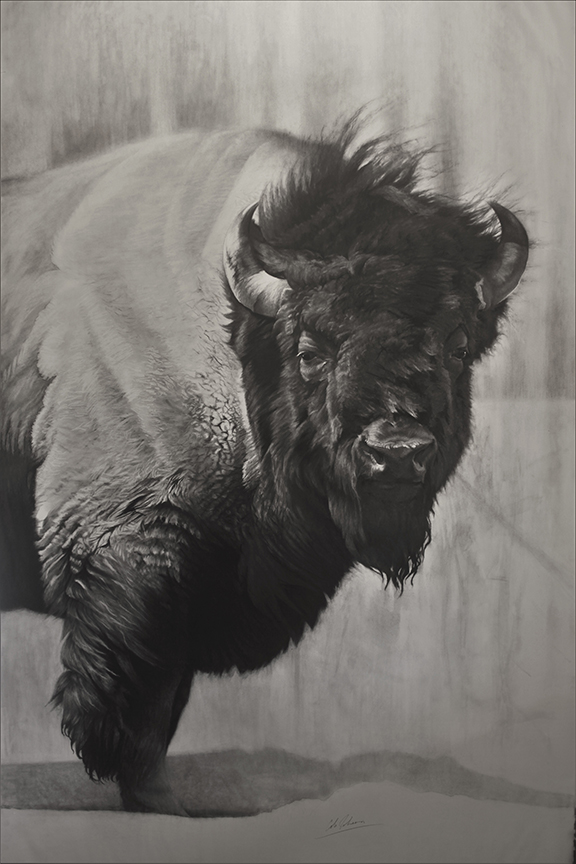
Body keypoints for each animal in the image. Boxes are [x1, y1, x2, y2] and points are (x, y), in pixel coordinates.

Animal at [0, 120, 529, 815]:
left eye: (460, 344)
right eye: (310, 351)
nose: (395, 450)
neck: (237, 336)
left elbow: (163, 707)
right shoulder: (131, 549)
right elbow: (134, 697)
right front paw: (157, 802)